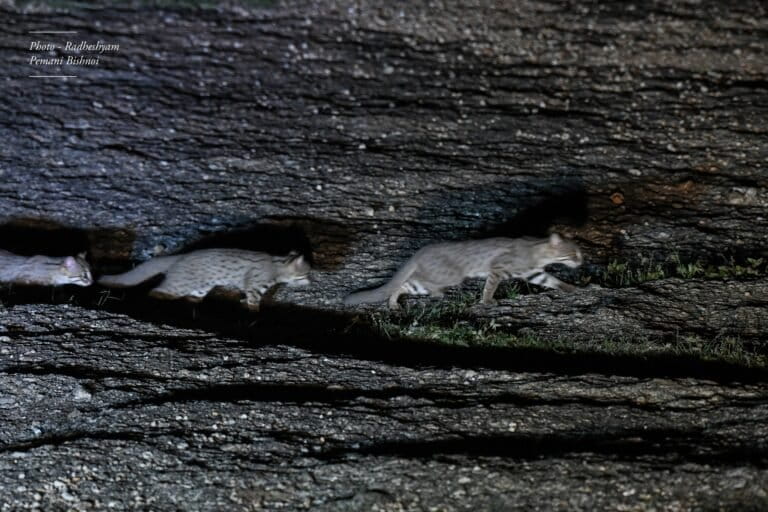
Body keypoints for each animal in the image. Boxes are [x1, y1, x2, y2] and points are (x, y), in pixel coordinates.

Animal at [98, 249, 308, 312]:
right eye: (304, 275)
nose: (311, 282)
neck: (276, 264)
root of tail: (180, 256)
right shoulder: (255, 285)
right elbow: (254, 302)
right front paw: (255, 312)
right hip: (179, 285)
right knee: (156, 291)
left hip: (201, 287)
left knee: (193, 297)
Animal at [344, 232, 584, 308]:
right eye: (574, 254)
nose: (582, 262)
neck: (536, 251)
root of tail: (420, 252)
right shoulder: (498, 268)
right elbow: (489, 287)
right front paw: (487, 301)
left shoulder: (535, 273)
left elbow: (552, 281)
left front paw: (570, 288)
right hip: (451, 275)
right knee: (418, 283)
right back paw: (436, 294)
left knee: (404, 285)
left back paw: (394, 304)